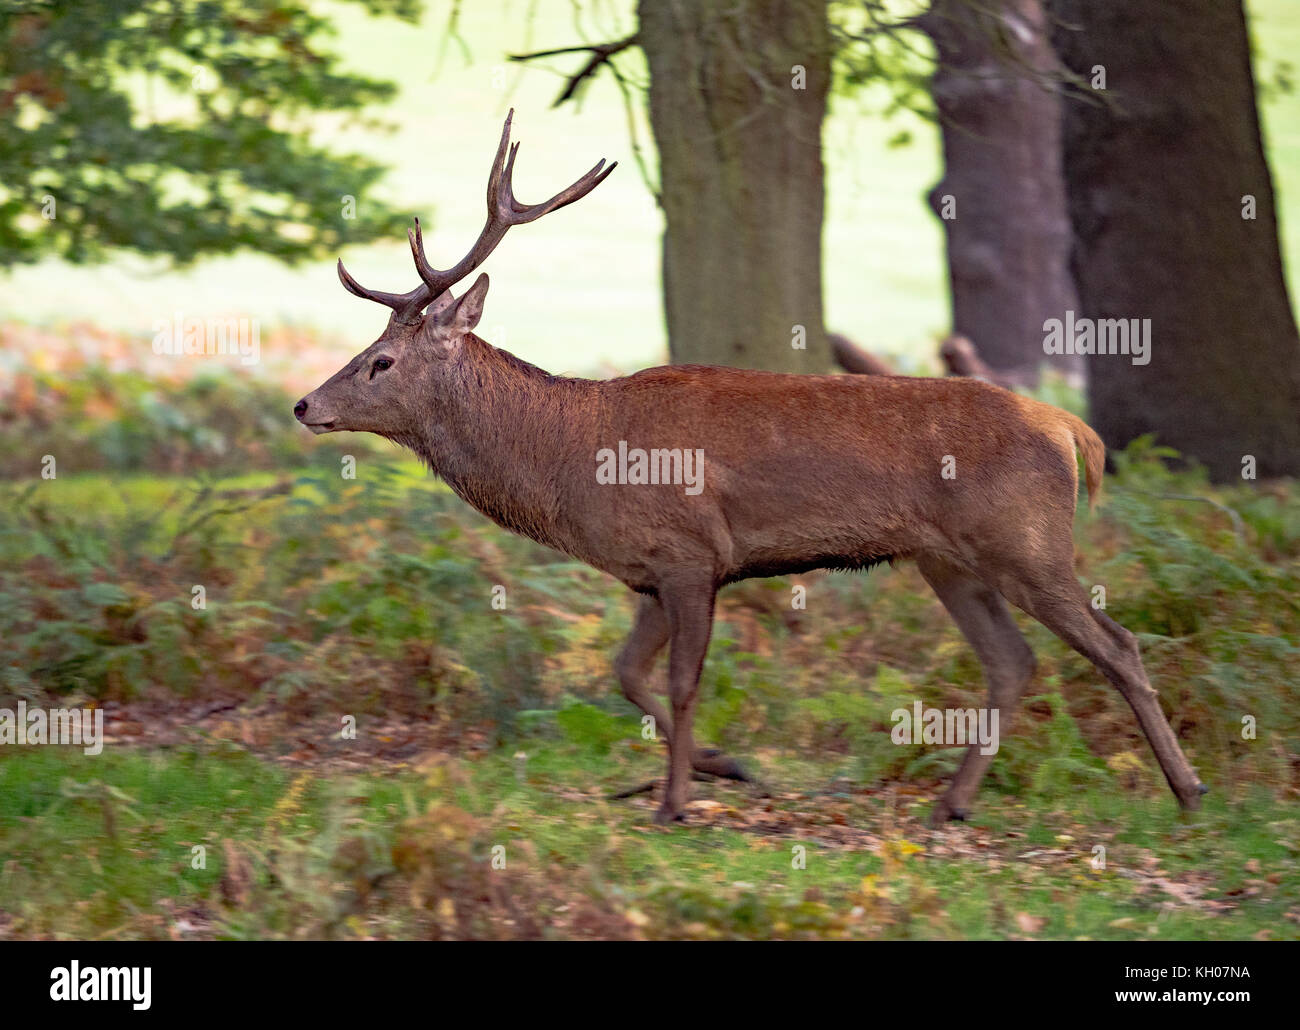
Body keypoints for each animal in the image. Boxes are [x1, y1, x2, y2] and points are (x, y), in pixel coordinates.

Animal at [295, 110, 1206, 827]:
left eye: (379, 362)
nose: (305, 404)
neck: (570, 462)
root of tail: (1068, 428)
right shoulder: (649, 573)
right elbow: (625, 674)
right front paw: (722, 767)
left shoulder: (693, 552)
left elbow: (681, 681)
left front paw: (675, 802)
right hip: (948, 559)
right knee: (1013, 662)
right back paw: (953, 802)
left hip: (1026, 539)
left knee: (1117, 643)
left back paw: (1187, 789)